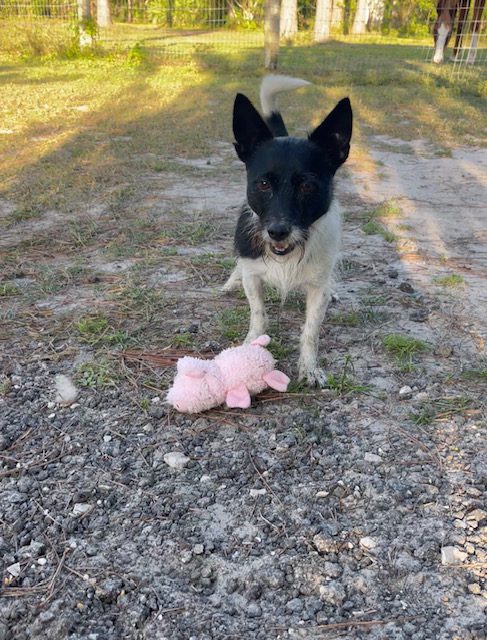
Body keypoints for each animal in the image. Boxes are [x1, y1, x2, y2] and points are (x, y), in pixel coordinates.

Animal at [223, 75, 352, 384]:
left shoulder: (317, 289)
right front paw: (249, 346)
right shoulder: (253, 274)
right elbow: (258, 315)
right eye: (263, 184)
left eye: (307, 186)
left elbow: (311, 331)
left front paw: (309, 368)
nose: (278, 232)